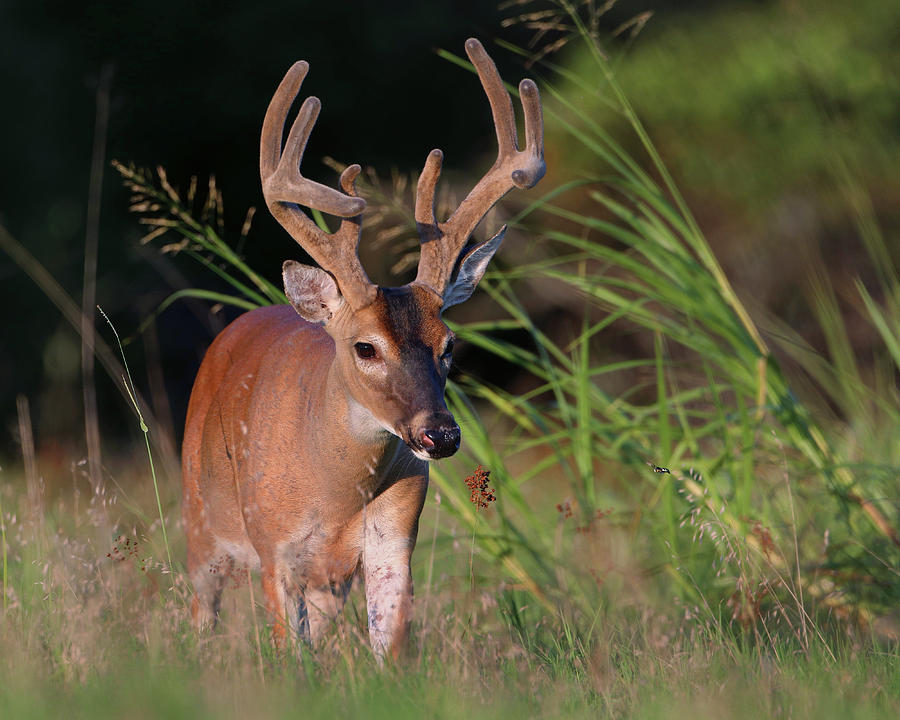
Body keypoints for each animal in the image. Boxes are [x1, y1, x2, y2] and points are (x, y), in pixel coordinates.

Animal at [178, 38, 540, 660]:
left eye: (450, 345)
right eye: (365, 347)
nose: (440, 435)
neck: (334, 492)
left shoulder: (393, 536)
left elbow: (389, 648)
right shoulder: (275, 549)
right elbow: (289, 654)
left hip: (329, 579)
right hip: (199, 520)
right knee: (201, 616)